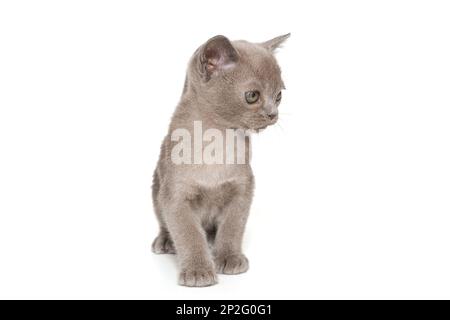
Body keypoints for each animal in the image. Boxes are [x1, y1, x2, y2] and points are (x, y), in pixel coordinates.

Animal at [151, 33, 290, 286]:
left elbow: (232, 227)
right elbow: (188, 234)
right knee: (166, 223)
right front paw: (198, 270)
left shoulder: (243, 189)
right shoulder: (175, 195)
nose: (272, 114)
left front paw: (229, 257)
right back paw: (166, 241)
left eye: (279, 96)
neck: (218, 140)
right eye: (252, 96)